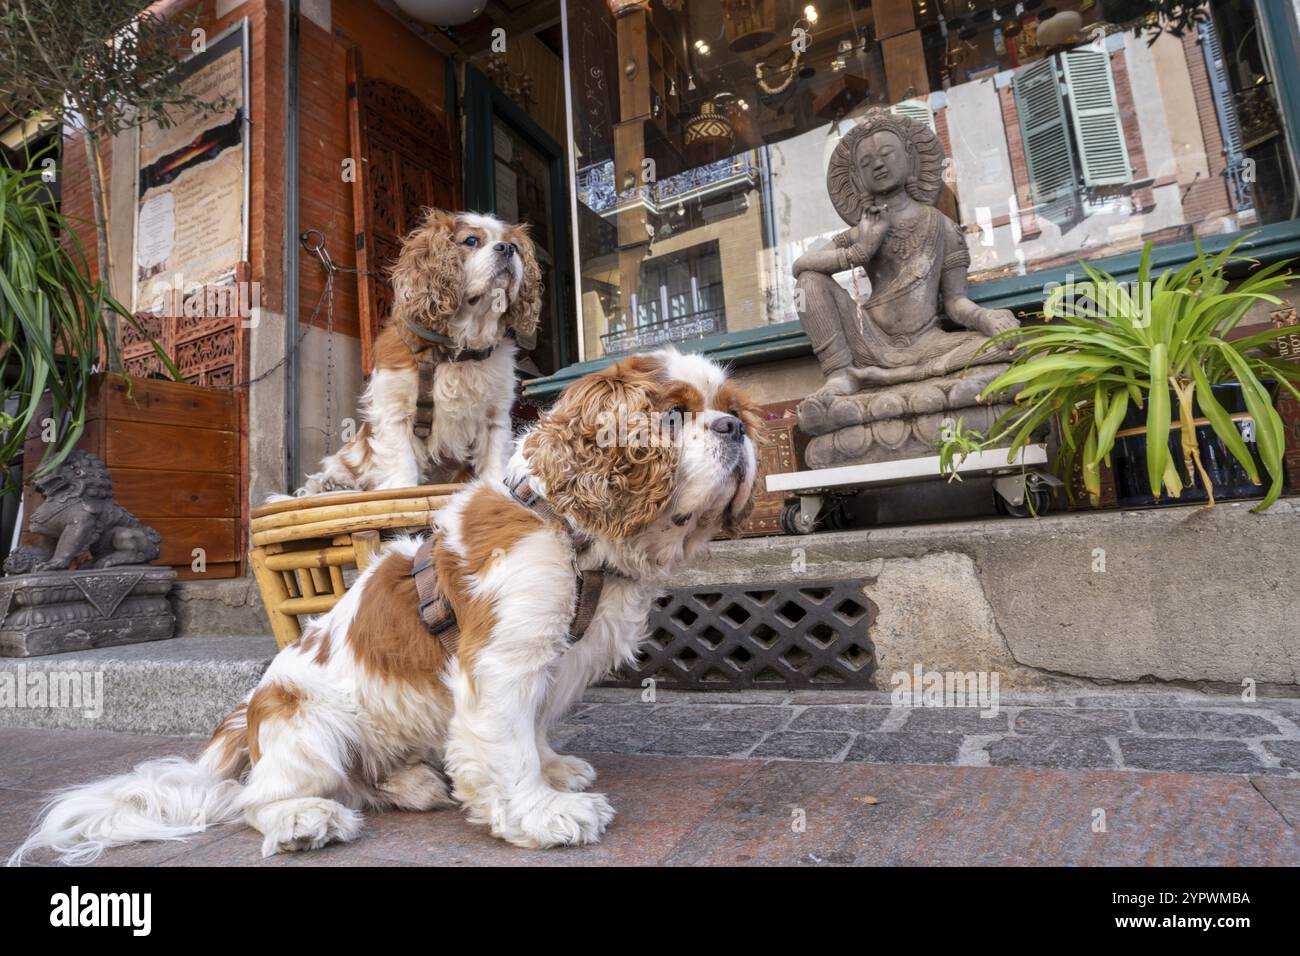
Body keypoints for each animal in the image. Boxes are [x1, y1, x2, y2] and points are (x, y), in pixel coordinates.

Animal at [7, 348, 759, 863]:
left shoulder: (550, 664)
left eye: (732, 408)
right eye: (671, 415)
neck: (570, 533)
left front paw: (554, 772)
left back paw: (415, 785)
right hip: (310, 726)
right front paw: (542, 813)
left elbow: (536, 730)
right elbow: (507, 743)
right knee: (256, 800)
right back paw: (304, 820)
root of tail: (243, 727)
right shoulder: (503, 660)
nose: (735, 429)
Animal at [295, 208, 538, 494]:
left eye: (515, 246)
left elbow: (494, 457)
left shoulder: (495, 415)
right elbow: (403, 461)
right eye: (471, 241)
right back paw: (332, 483)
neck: (456, 350)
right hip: (352, 451)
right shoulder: (394, 410)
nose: (507, 248)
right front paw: (402, 488)